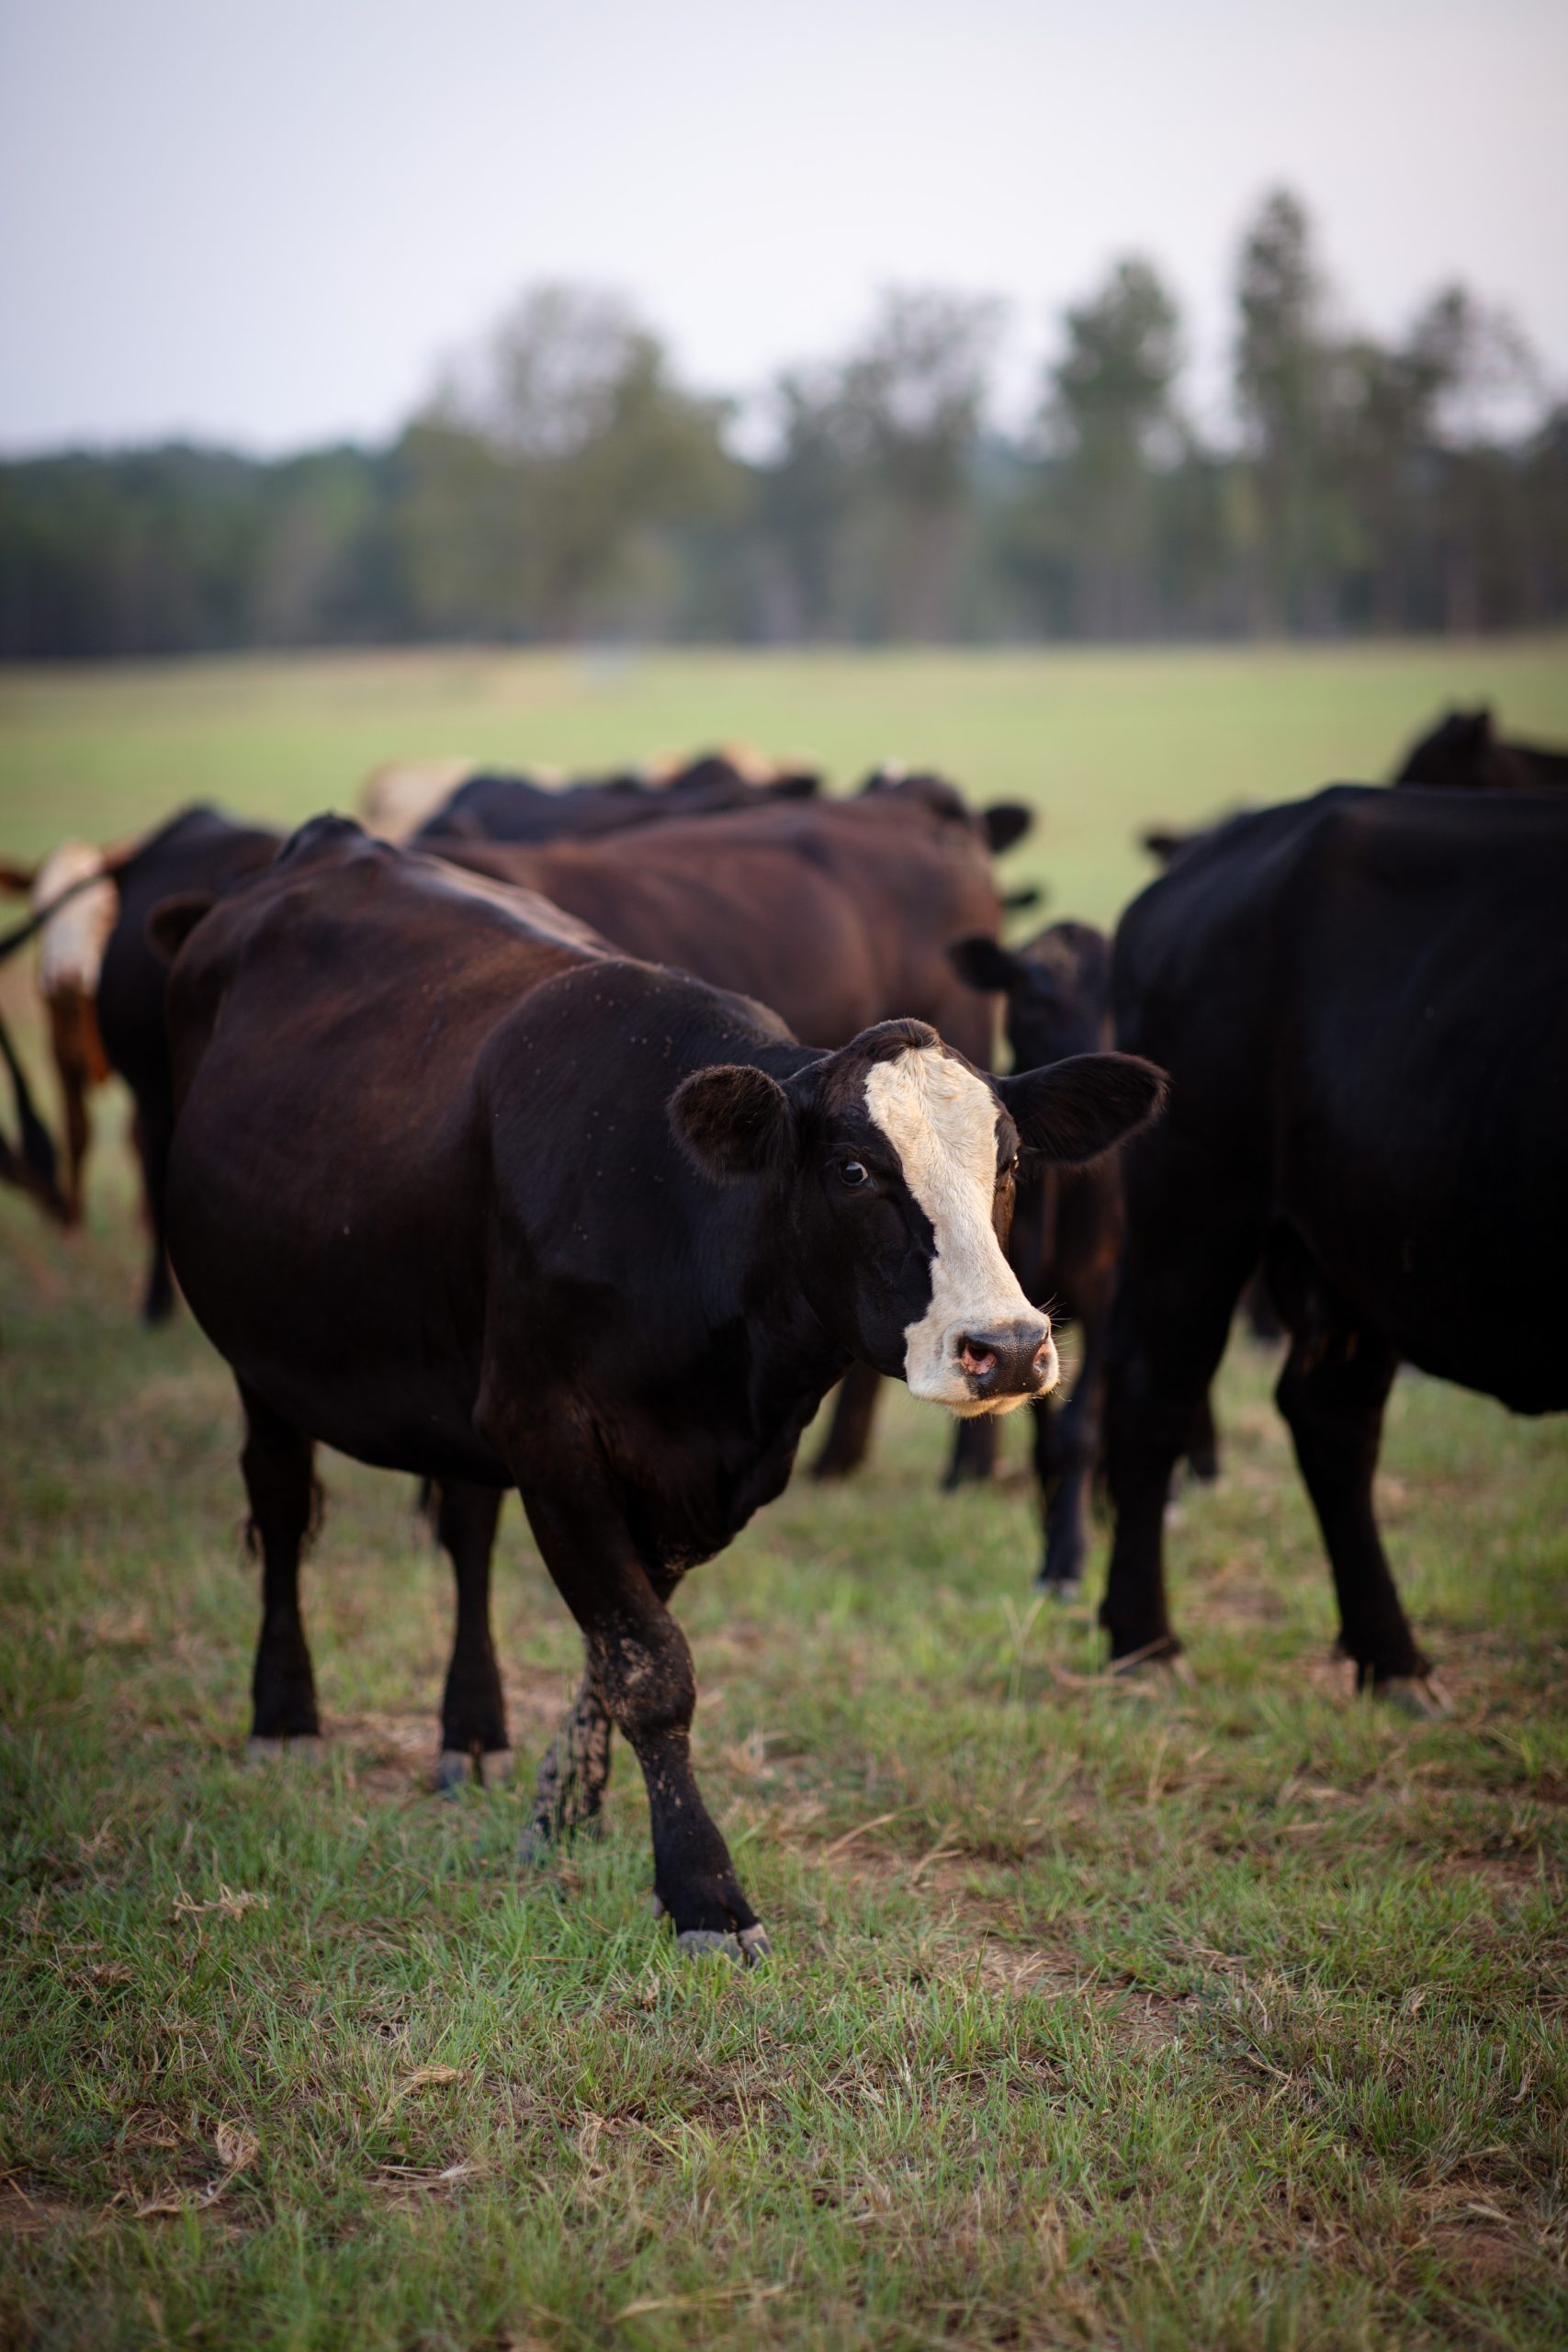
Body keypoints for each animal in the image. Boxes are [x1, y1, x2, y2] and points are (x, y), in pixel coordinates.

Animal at [159, 817, 1164, 1956]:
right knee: (283, 1507)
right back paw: (285, 1714)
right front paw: (702, 1887)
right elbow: (650, 1664)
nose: (1008, 1346)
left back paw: (474, 1727)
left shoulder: (693, 1472)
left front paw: (564, 1806)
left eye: (1010, 1163)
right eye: (854, 1169)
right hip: (262, 1351)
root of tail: (325, 842)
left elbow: (615, 1649)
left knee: (464, 1531)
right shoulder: (551, 1431)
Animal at [1101, 784, 1568, 1709]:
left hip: (1353, 1247)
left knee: (1330, 1416)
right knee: (1154, 1391)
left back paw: (1392, 1660)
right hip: (1199, 1208)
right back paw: (1146, 1645)